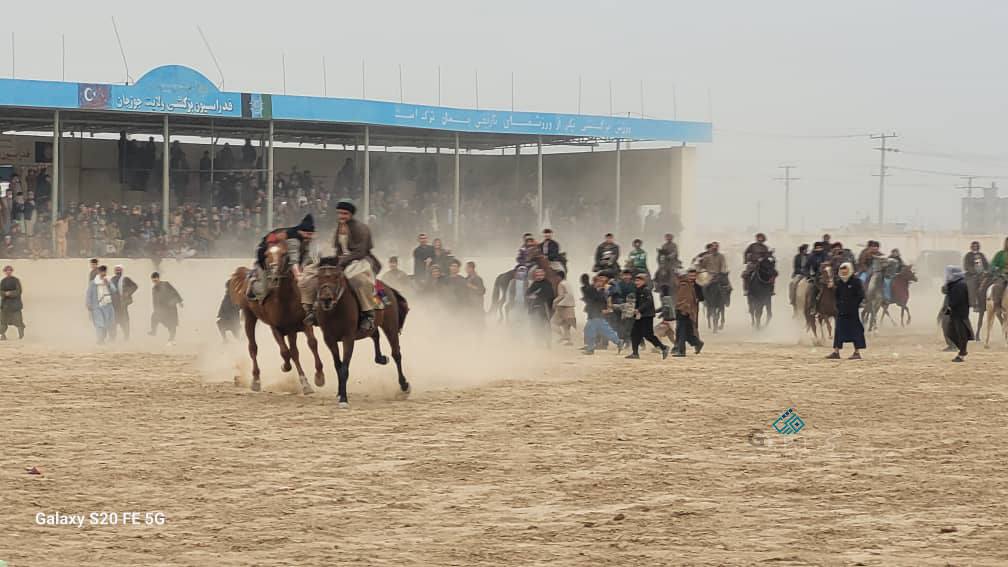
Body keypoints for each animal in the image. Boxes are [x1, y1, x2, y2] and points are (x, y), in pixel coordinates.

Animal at [227, 238, 322, 393]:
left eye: (284, 254)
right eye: (266, 255)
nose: (274, 274)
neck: (286, 300)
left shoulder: (302, 324)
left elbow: (311, 344)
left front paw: (318, 377)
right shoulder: (278, 327)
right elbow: (287, 352)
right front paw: (287, 369)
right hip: (249, 316)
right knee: (253, 347)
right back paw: (256, 381)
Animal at [314, 258, 409, 407]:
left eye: (336, 276)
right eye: (318, 276)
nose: (326, 299)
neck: (335, 311)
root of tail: (387, 288)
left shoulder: (348, 338)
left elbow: (344, 368)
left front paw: (343, 399)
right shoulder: (329, 340)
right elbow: (338, 366)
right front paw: (340, 393)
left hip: (390, 325)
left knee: (396, 353)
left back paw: (404, 385)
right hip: (371, 328)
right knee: (375, 335)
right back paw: (381, 358)